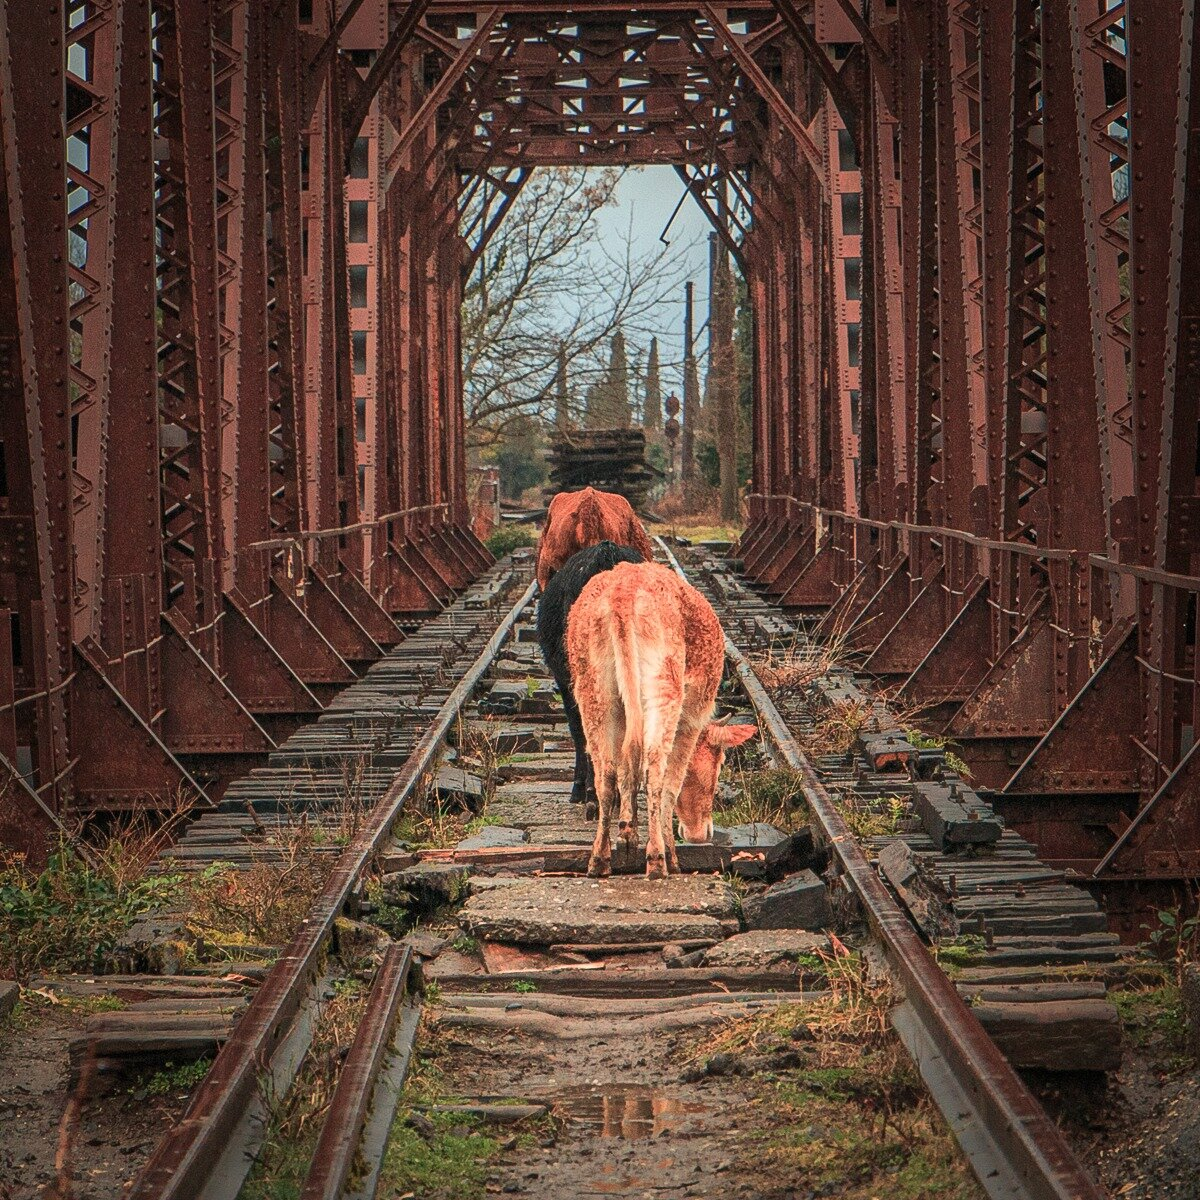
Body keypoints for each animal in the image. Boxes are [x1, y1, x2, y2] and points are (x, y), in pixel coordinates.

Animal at [566, 556, 753, 878]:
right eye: (720, 764)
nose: (702, 833)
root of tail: (622, 592)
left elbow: (625, 772)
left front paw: (628, 834)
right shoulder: (692, 718)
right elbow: (672, 781)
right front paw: (671, 853)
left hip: (594, 691)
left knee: (607, 771)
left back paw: (600, 858)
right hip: (663, 684)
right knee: (654, 766)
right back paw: (657, 859)